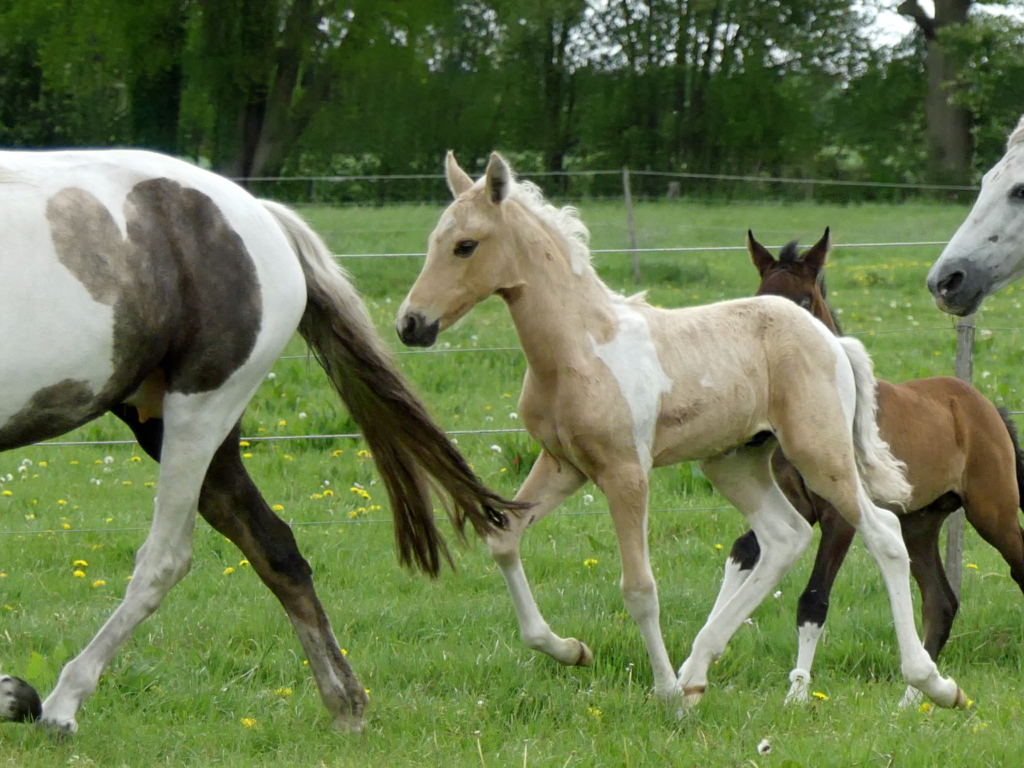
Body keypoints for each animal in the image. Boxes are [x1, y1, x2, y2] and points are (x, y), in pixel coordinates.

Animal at [0, 148, 512, 733]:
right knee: (276, 547)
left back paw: (58, 704)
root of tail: (262, 215)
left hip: (197, 413)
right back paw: (345, 704)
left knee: (167, 558)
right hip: (178, 426)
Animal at [391, 150, 966, 708]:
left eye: (465, 245)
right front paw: (571, 650)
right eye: (434, 241)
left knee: (883, 534)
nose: (410, 324)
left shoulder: (625, 472)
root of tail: (832, 341)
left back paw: (934, 684)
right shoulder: (563, 465)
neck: (580, 347)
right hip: (734, 461)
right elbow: (504, 539)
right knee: (783, 536)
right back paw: (697, 673)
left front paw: (664, 693)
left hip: (819, 455)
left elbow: (640, 588)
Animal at [720, 230, 1024, 708]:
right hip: (920, 524)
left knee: (1014, 570)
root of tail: (985, 406)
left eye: (804, 301)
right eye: (759, 298)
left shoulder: (839, 516)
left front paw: (797, 696)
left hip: (994, 512)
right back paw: (911, 703)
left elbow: (813, 600)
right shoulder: (795, 504)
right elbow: (743, 551)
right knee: (940, 601)